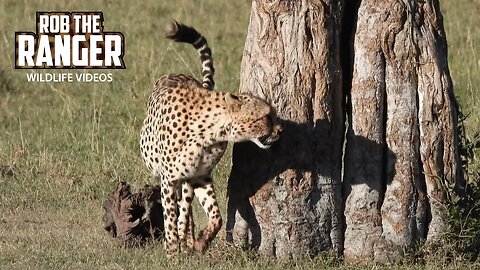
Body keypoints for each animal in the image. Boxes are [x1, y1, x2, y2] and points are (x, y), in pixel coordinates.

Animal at [140, 20, 282, 256]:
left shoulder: (200, 176)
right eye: (266, 116)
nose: (280, 130)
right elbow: (170, 220)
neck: (210, 131)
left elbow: (216, 216)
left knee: (186, 209)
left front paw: (200, 242)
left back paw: (188, 238)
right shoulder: (169, 179)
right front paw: (172, 253)